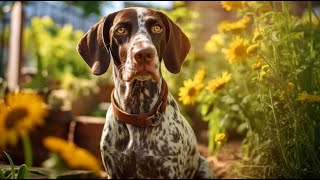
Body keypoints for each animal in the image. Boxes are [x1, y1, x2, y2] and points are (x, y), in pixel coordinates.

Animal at [76, 6, 214, 179]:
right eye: (120, 30)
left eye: (157, 28)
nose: (143, 53)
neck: (138, 112)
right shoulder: (114, 170)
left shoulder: (169, 168)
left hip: (204, 167)